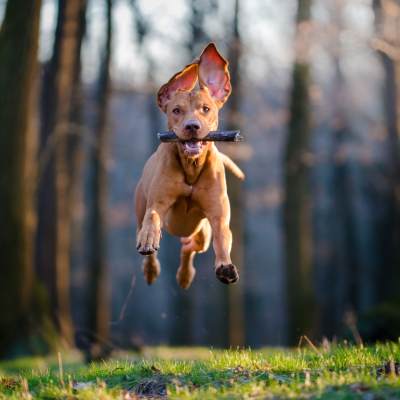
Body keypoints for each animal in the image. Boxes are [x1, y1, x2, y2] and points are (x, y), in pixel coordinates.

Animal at [134, 42, 244, 290]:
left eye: (206, 109)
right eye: (176, 110)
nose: (192, 126)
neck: (191, 166)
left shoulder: (218, 215)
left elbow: (222, 238)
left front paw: (225, 266)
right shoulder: (157, 203)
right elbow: (152, 218)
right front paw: (148, 240)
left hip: (201, 232)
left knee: (190, 246)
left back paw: (185, 274)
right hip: (141, 210)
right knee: (147, 231)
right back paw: (150, 268)